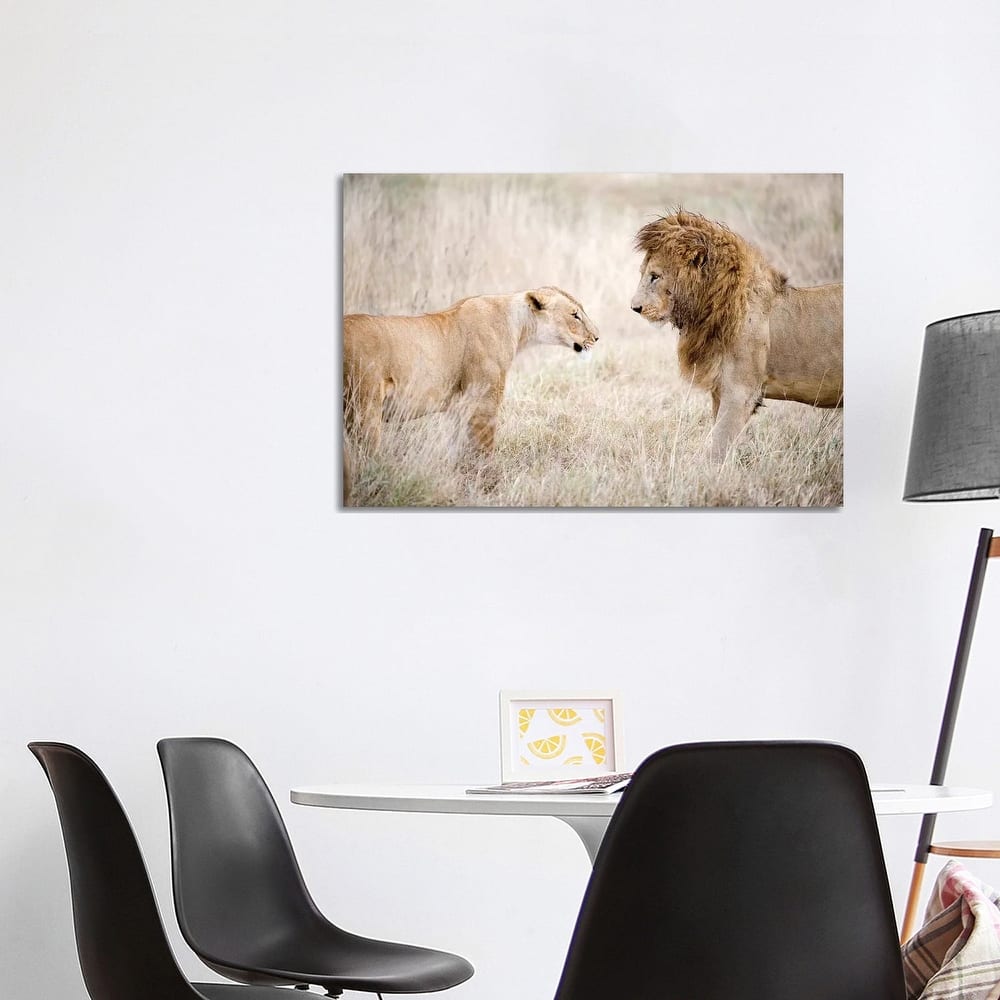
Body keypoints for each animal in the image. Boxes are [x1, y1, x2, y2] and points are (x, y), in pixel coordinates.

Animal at [343, 287, 599, 452]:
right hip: (364, 410)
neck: (518, 327)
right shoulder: (483, 403)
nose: (597, 337)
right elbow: (483, 453)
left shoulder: (459, 408)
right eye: (575, 315)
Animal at [631, 211, 843, 462]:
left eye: (654, 276)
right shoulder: (720, 390)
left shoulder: (740, 392)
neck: (710, 308)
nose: (634, 308)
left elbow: (719, 446)